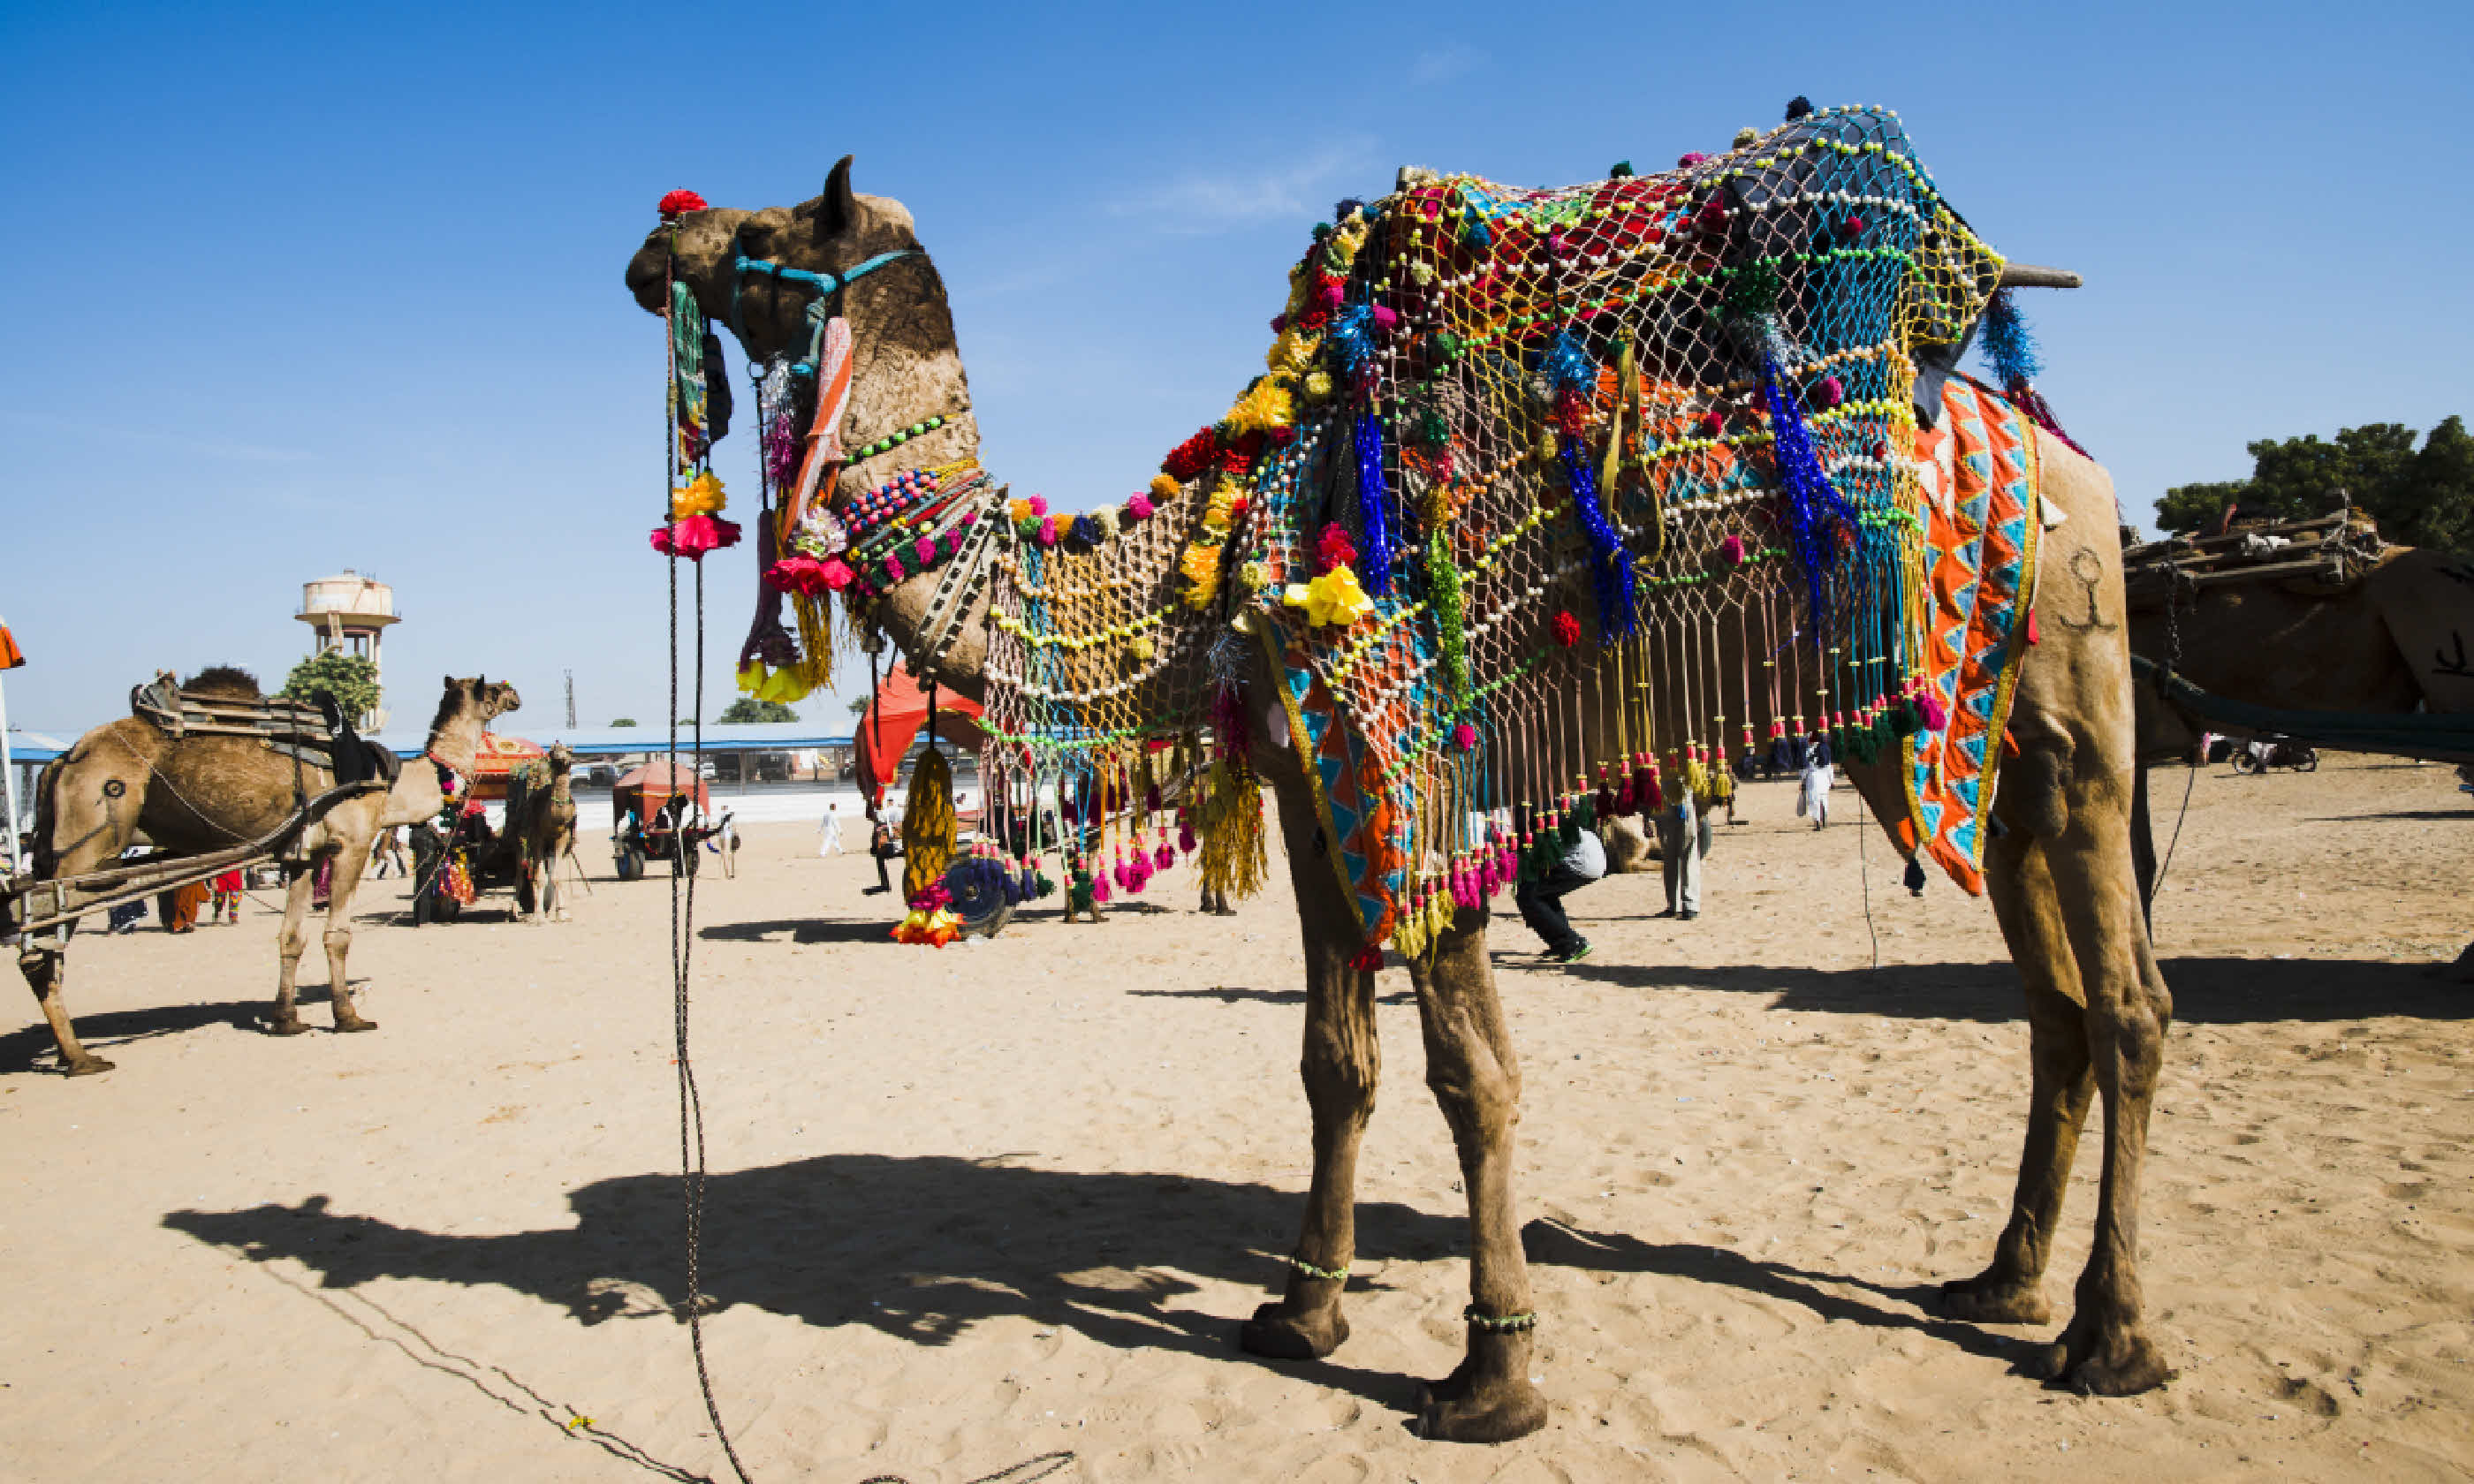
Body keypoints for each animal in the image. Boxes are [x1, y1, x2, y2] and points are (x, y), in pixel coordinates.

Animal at [11, 668, 517, 1073]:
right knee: (41, 944)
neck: (391, 784)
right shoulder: (351, 843)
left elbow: (291, 937)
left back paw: (65, 1050)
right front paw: (348, 1016)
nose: (516, 694)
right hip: (89, 847)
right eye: (490, 689)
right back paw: (78, 1056)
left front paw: (286, 1019)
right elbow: (337, 935)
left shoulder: (303, 856)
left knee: (46, 940)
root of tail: (62, 760)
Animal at [505, 737, 581, 920]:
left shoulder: (562, 837)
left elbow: (556, 876)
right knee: (521, 874)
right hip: (520, 842)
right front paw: (538, 916)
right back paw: (515, 912)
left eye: (569, 751)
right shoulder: (538, 838)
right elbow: (538, 878)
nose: (560, 758)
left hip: (547, 849)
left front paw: (562, 913)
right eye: (552, 751)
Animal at [628, 113, 2177, 1435]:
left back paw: (2109, 1338)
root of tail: (2062, 457)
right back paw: (2001, 1282)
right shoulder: (1316, 790)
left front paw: (1491, 1377)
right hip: (1971, 749)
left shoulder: (1413, 761)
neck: (1217, 553)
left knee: (2132, 1005)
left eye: (765, 228)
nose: (657, 244)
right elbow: (1337, 1062)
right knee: (2053, 1005)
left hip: (2082, 705)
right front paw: (1298, 1312)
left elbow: (1471, 1075)